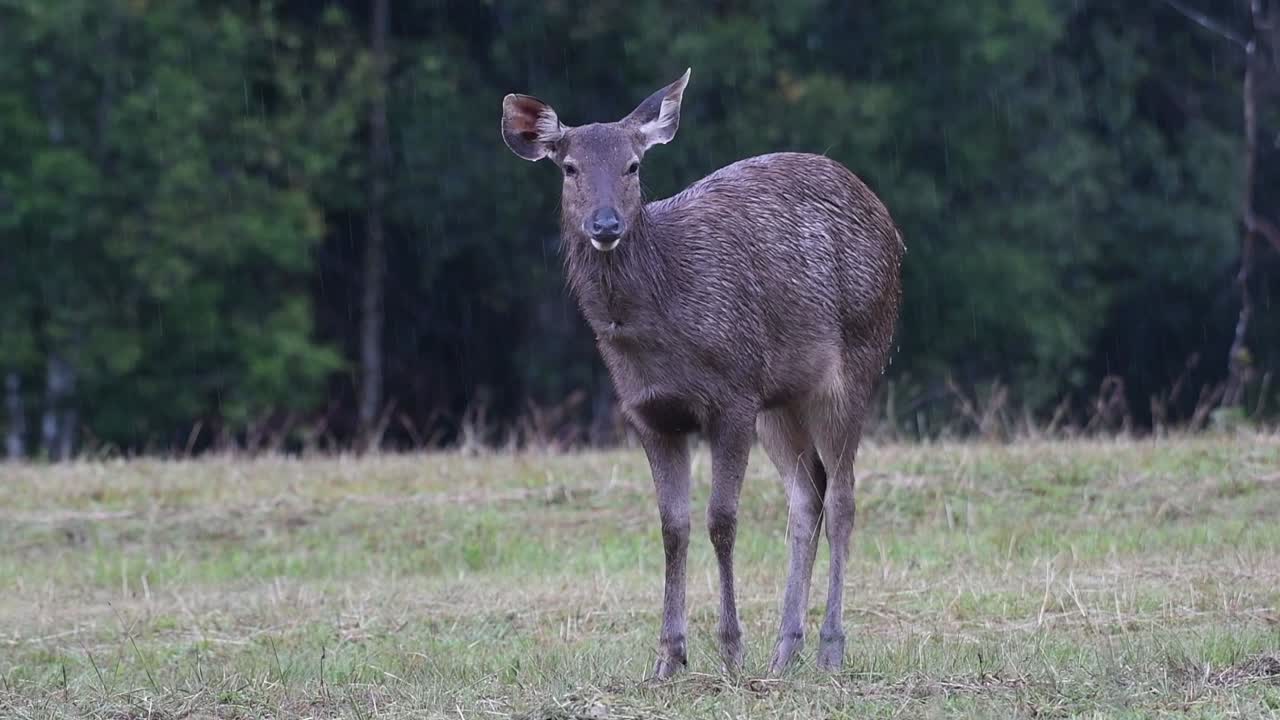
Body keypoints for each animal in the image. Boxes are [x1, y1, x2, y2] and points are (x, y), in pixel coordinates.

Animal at [500, 69, 903, 679]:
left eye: (633, 165)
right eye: (569, 167)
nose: (605, 224)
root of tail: (891, 227)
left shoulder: (732, 394)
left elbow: (721, 519)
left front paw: (731, 648)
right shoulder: (648, 412)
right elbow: (674, 525)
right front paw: (669, 657)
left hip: (857, 360)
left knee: (842, 498)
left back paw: (830, 648)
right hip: (781, 399)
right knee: (806, 495)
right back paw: (784, 650)